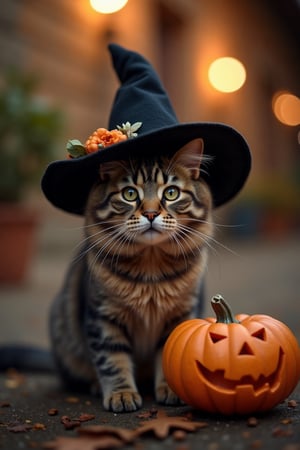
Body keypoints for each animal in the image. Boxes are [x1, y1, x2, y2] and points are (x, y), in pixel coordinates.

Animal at [49, 137, 213, 412]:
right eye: (129, 194)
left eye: (171, 193)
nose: (150, 214)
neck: (151, 266)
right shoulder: (104, 316)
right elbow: (112, 360)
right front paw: (122, 394)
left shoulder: (181, 314)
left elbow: (169, 354)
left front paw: (171, 389)